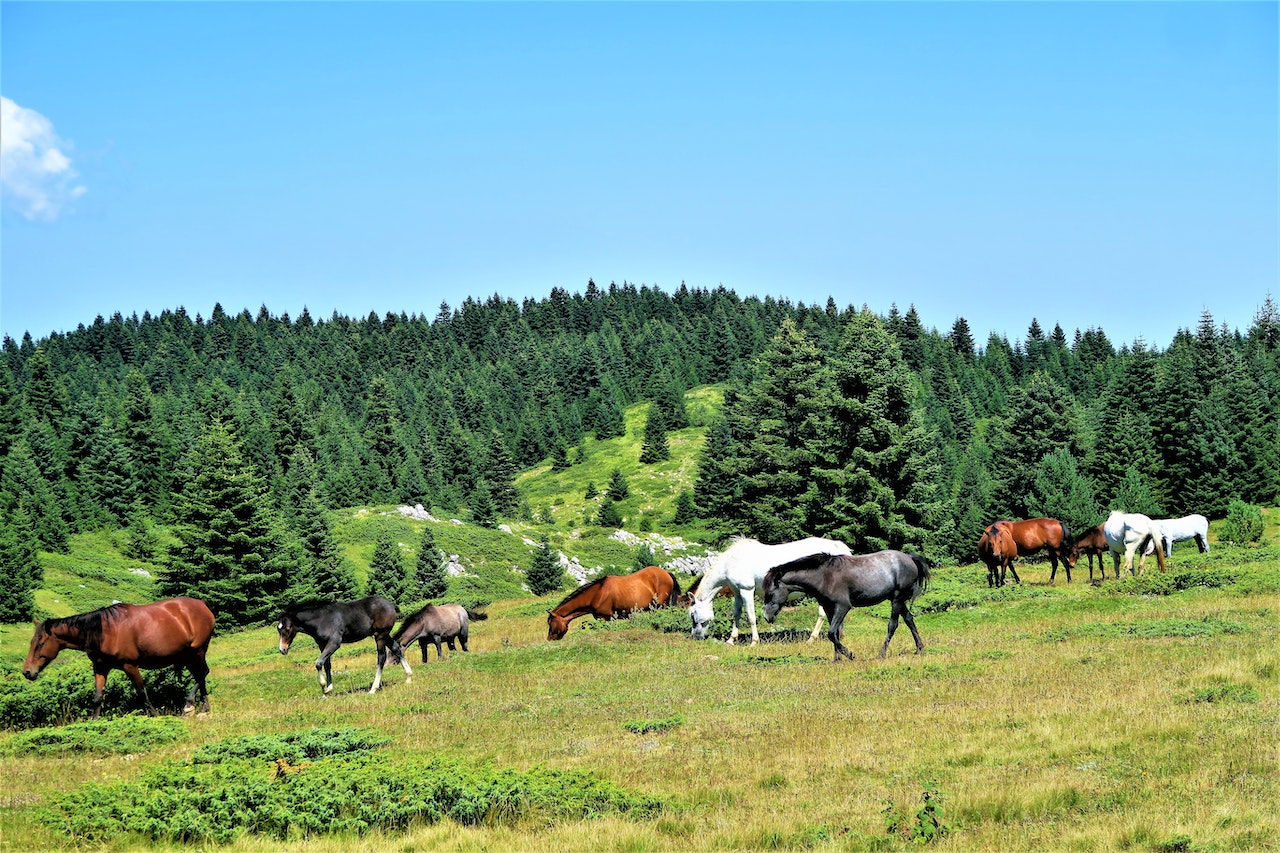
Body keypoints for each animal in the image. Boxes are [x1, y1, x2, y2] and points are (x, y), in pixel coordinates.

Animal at [21, 594, 216, 722]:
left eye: (40, 643)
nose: (27, 672)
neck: (103, 632)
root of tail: (203, 606)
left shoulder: (130, 666)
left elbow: (142, 693)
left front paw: (154, 715)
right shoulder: (101, 668)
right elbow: (98, 697)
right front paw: (94, 723)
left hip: (197, 651)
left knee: (202, 673)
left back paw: (189, 705)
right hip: (187, 655)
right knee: (200, 675)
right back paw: (205, 708)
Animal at [545, 563, 680, 637]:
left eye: (551, 623)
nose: (550, 639)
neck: (598, 593)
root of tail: (666, 573)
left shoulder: (605, 618)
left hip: (662, 605)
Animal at [686, 535, 855, 640]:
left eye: (693, 615)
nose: (696, 636)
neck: (731, 562)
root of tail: (838, 547)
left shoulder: (747, 590)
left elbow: (751, 616)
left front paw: (754, 641)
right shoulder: (737, 592)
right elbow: (736, 615)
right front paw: (731, 640)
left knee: (822, 614)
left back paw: (812, 639)